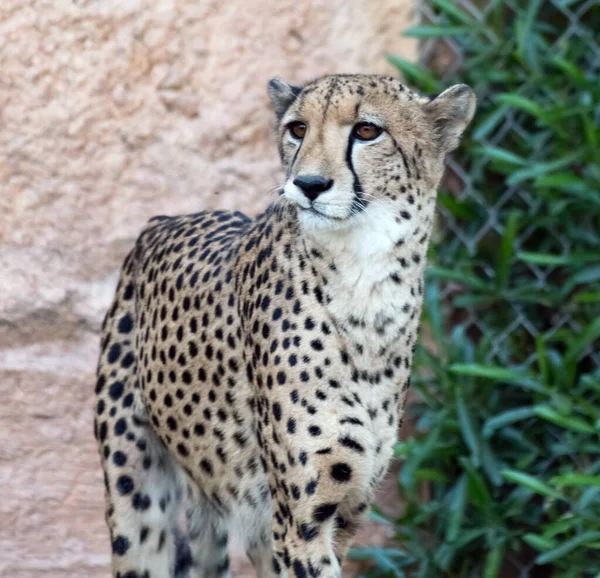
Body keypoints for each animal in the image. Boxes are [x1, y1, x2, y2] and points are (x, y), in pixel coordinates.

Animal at [95, 73, 474, 576]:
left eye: (367, 131)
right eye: (297, 128)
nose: (309, 183)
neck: (365, 283)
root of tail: (166, 219)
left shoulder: (343, 512)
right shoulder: (300, 522)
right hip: (135, 494)